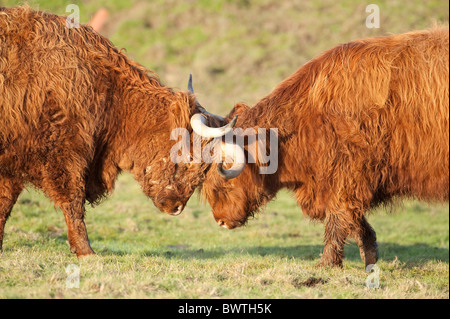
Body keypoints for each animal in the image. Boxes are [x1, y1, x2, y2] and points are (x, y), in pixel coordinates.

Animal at [0, 5, 232, 258]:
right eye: (190, 158)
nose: (176, 207)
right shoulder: (65, 155)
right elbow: (73, 201)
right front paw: (86, 251)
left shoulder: (11, 165)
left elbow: (5, 203)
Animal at [185, 27, 448, 268]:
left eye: (223, 183)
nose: (220, 221)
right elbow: (355, 222)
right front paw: (370, 258)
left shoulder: (346, 176)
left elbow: (338, 218)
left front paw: (327, 263)